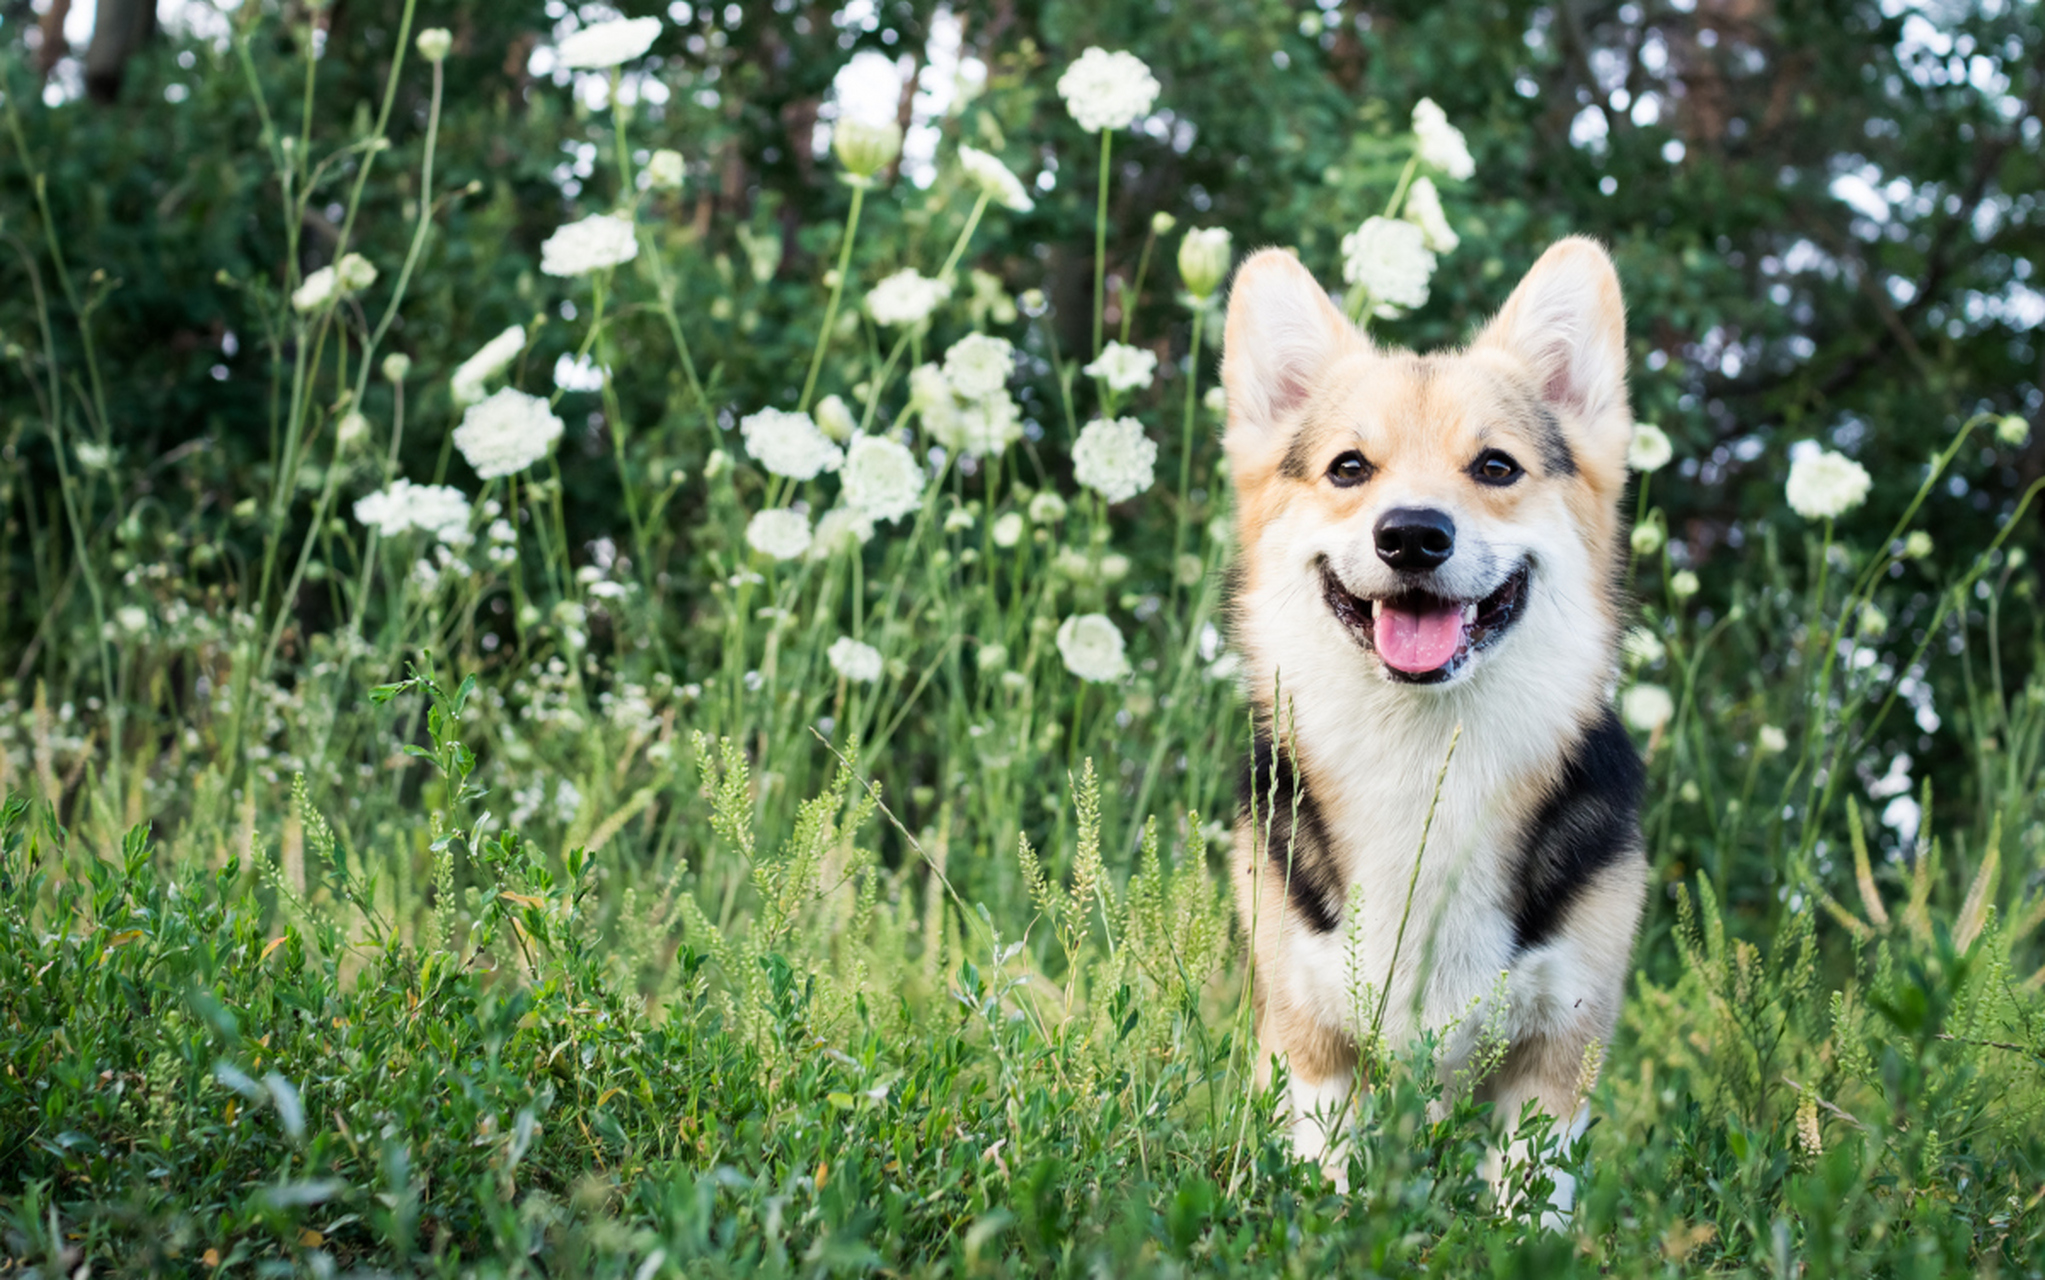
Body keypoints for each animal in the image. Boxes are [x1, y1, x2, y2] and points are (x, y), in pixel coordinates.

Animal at [1210, 237, 1644, 1202]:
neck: (1422, 754)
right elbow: (1323, 1180)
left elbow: (1525, 1203)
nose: (1411, 535)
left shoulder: (1556, 1054)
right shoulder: (1310, 1047)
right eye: (1348, 468)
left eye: (1495, 467)